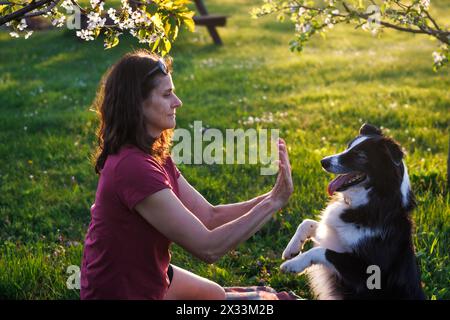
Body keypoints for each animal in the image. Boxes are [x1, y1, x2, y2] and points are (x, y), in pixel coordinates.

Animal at [282, 123, 426, 300]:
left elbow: (323, 250)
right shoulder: (333, 234)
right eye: (348, 147)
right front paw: (292, 248)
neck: (370, 202)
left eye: (360, 156)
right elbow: (307, 223)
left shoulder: (369, 273)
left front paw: (293, 264)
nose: (323, 161)